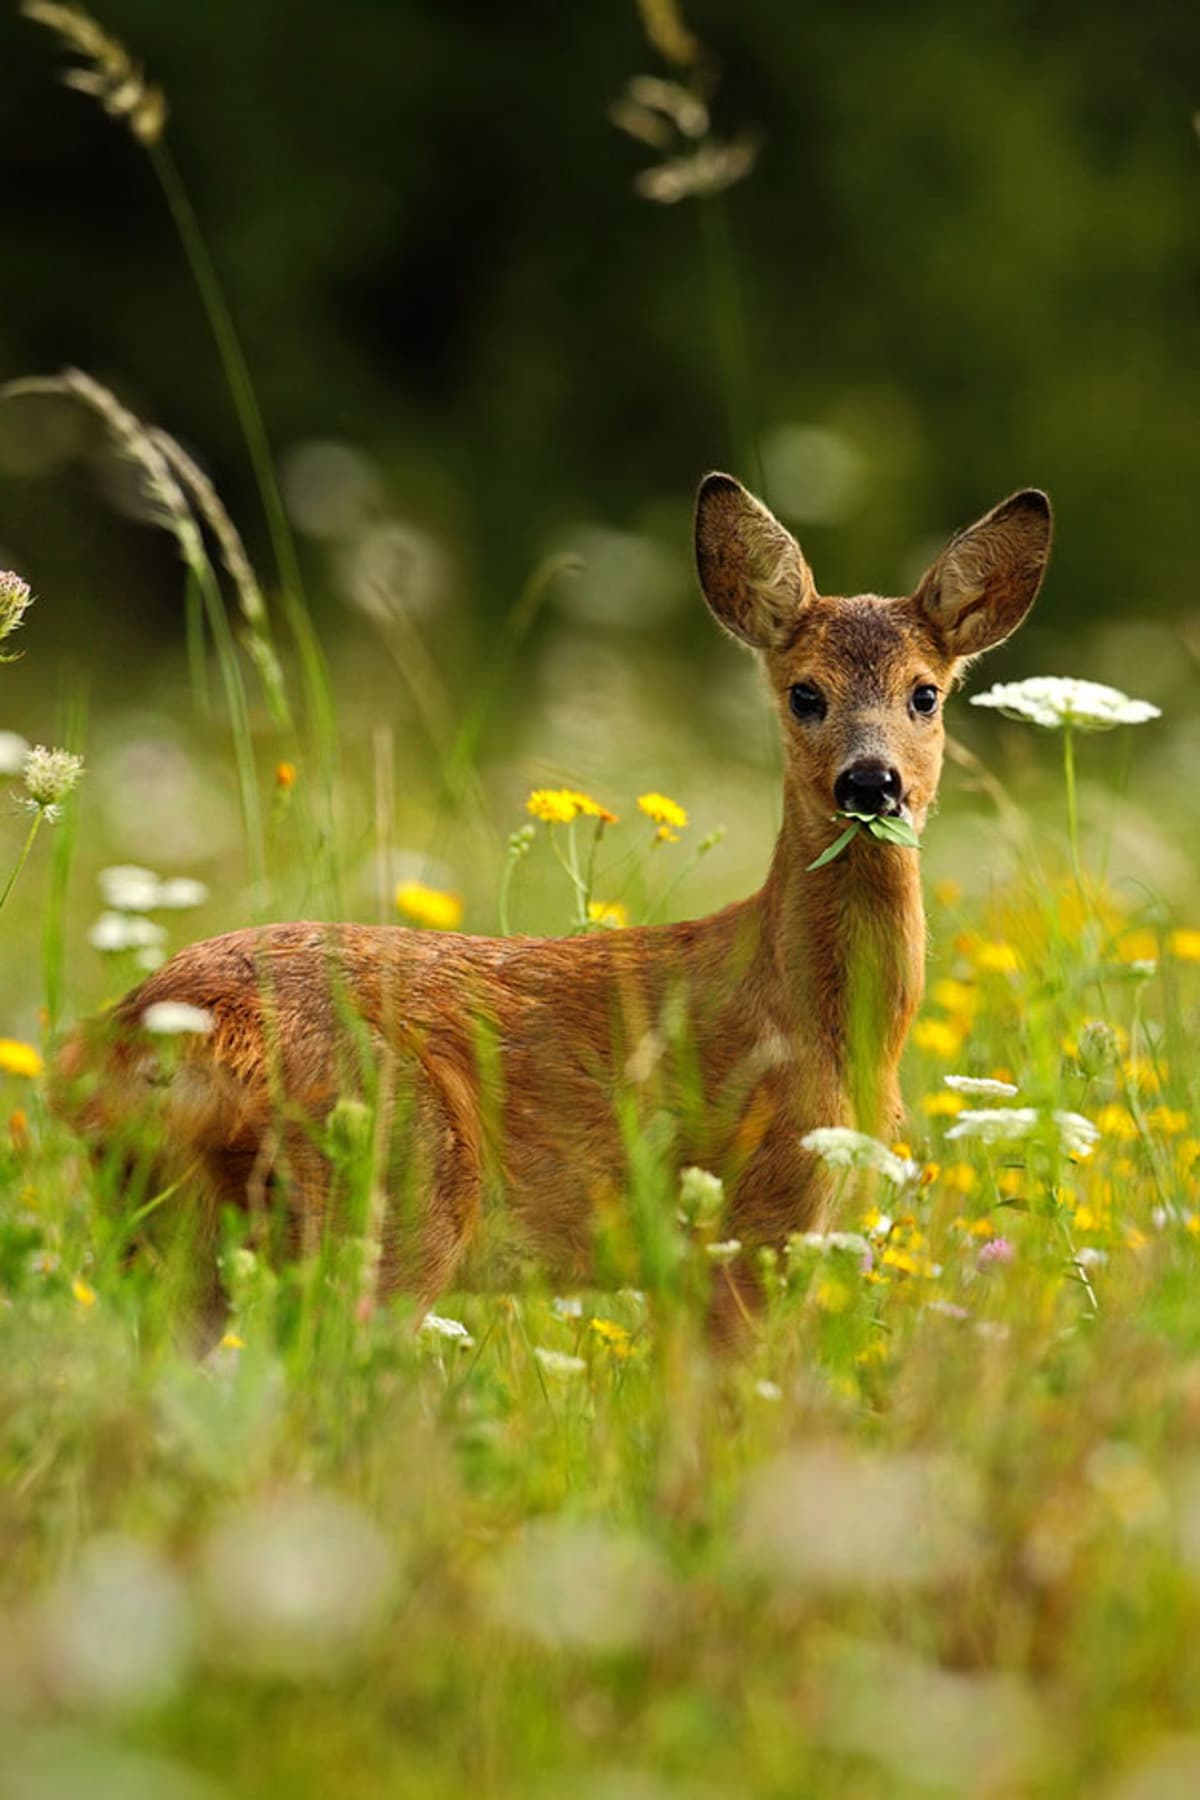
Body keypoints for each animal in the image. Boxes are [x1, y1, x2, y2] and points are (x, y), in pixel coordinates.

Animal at [56, 471, 1050, 1346]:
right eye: (806, 693)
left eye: (926, 693)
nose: (871, 783)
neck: (826, 1028)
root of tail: (143, 1035)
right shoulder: (755, 1214)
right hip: (388, 1189)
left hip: (167, 1227)